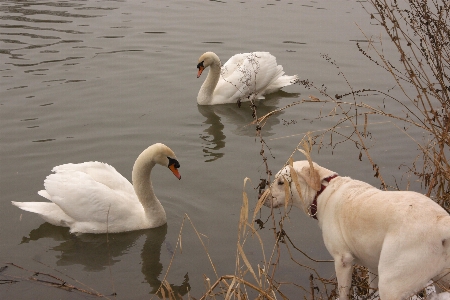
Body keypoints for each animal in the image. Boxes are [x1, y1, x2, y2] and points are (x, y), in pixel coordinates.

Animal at [264, 161, 450, 300]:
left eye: (281, 183)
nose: (262, 198)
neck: (323, 190)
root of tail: (441, 221)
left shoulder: (342, 260)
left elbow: (343, 292)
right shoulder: (372, 264)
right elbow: (371, 287)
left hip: (392, 282)